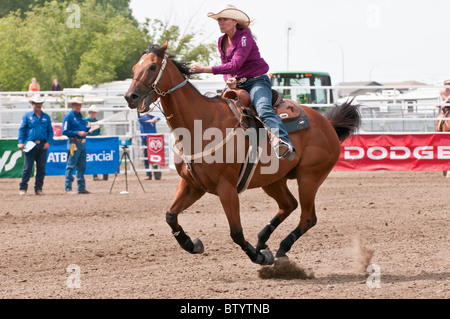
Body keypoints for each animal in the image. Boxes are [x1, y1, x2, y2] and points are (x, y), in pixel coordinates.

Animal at [124, 43, 362, 266]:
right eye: (135, 67)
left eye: (152, 67)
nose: (130, 97)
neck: (200, 123)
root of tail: (327, 123)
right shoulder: (192, 185)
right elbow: (170, 215)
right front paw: (192, 244)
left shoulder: (226, 188)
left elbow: (236, 232)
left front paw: (260, 257)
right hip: (273, 180)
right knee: (288, 205)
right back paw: (262, 240)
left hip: (309, 178)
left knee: (308, 217)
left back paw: (280, 249)